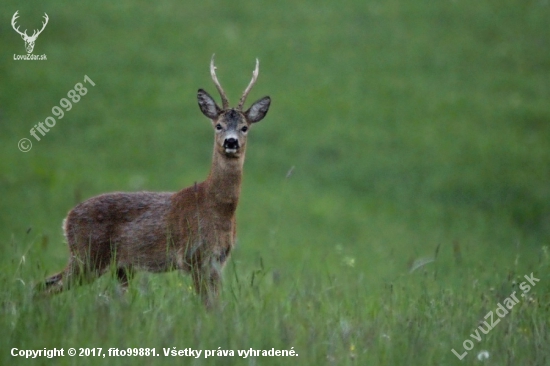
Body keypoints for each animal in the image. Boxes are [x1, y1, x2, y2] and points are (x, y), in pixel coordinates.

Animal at [38, 55, 272, 306]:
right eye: (218, 125)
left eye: (244, 127)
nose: (230, 142)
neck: (218, 207)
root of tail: (67, 219)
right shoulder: (194, 256)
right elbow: (206, 305)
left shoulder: (217, 260)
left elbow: (216, 305)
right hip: (88, 256)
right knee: (45, 287)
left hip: (119, 267)